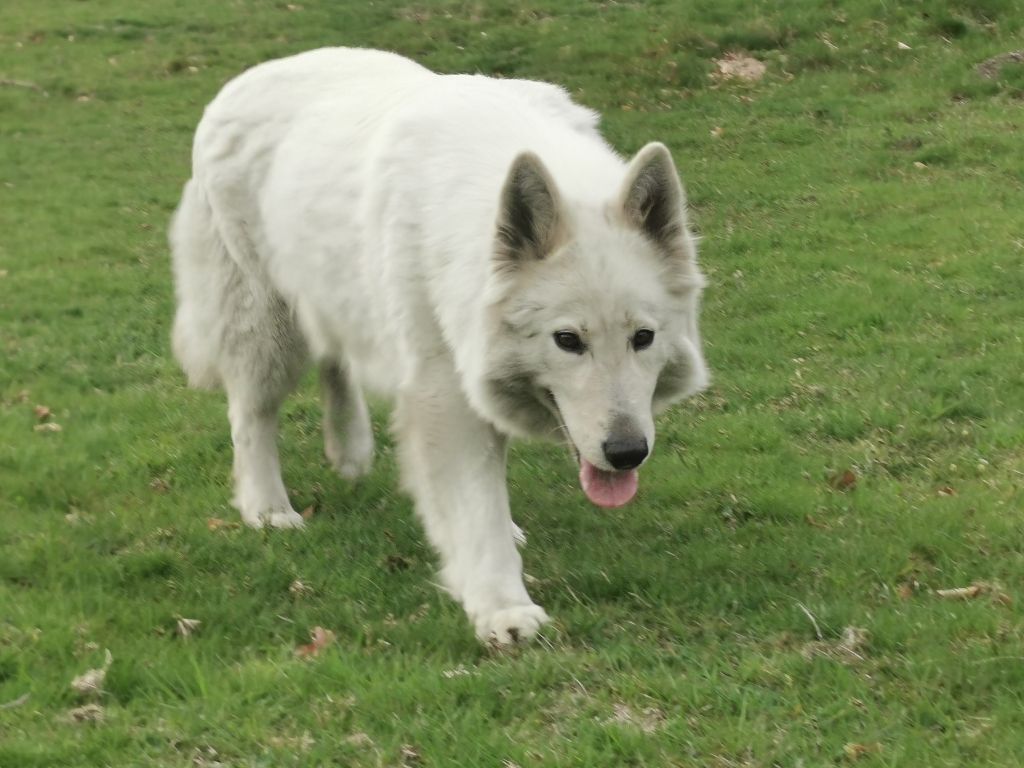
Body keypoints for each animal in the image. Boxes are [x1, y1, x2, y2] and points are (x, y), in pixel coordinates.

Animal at [172, 48, 708, 647]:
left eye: (643, 339)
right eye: (568, 341)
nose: (627, 453)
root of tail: (246, 79)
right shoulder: (444, 393)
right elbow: (474, 502)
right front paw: (502, 607)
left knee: (337, 358)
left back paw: (349, 449)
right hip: (268, 329)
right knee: (251, 416)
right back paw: (267, 509)